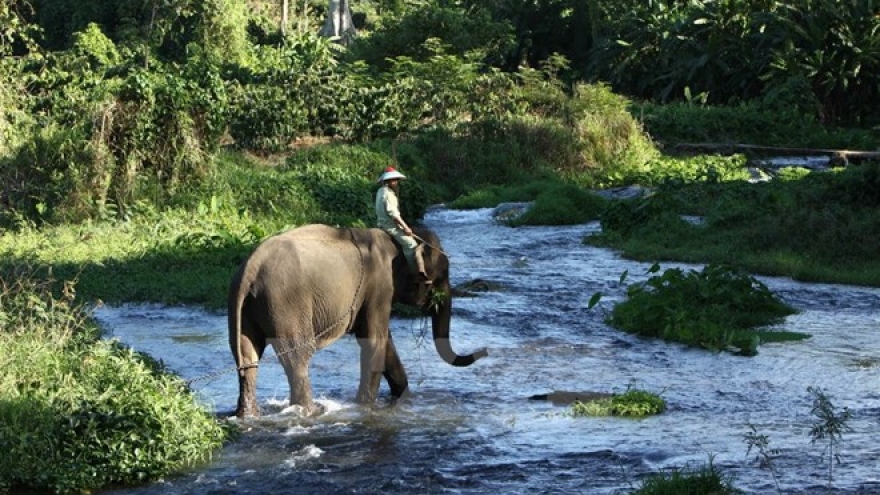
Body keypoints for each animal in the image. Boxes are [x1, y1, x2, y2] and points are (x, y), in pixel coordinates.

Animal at [228, 224, 488, 417]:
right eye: (441, 276)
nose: (483, 351)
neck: (395, 238)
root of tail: (250, 268)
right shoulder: (380, 284)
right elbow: (374, 340)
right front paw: (365, 406)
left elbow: (385, 342)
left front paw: (403, 397)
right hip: (285, 304)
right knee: (298, 357)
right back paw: (311, 411)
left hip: (244, 307)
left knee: (247, 357)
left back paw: (249, 415)